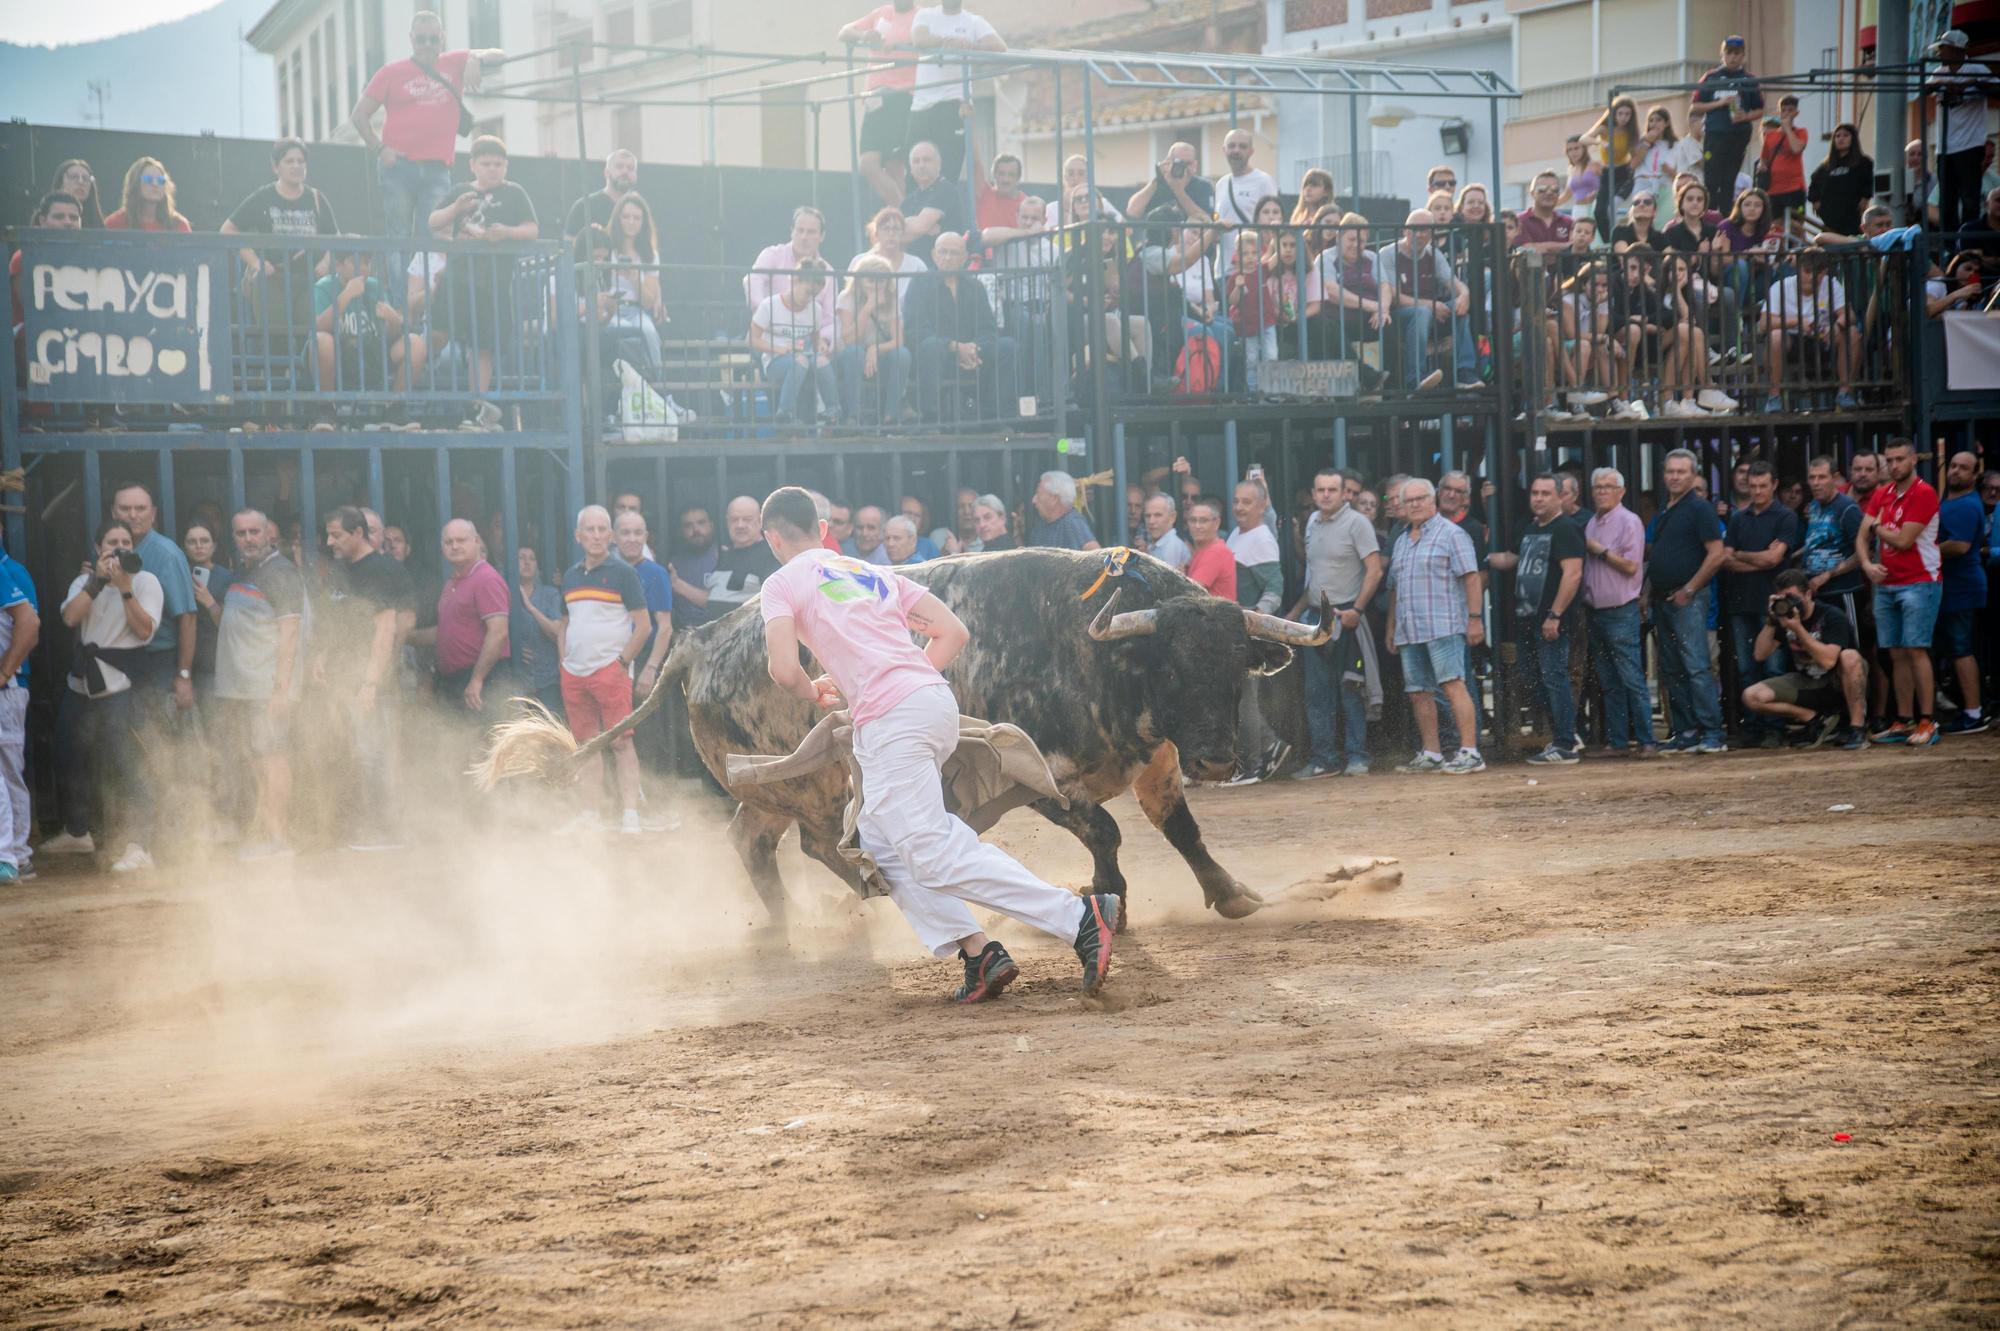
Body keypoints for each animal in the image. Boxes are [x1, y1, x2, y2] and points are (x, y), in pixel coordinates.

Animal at [478, 543, 1328, 927]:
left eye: (1235, 667)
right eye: (1172, 663)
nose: (1220, 755)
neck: (1094, 653)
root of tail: (703, 637)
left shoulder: (1155, 759)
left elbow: (1180, 829)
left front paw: (1230, 891)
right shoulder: (1041, 774)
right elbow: (1107, 833)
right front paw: (1106, 897)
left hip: (778, 785)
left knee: (756, 840)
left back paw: (790, 923)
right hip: (809, 785)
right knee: (809, 841)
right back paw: (849, 896)